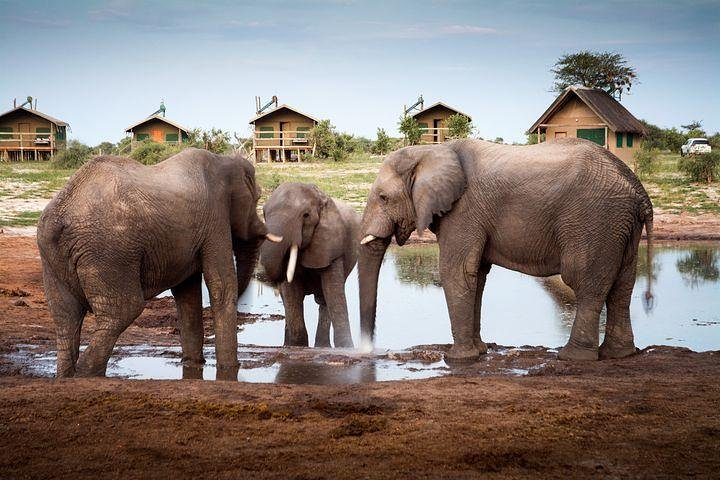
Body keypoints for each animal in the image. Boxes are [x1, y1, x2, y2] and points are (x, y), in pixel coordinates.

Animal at [37, 148, 282, 378]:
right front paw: (230, 370)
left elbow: (187, 295)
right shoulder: (215, 219)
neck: (224, 160)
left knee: (66, 317)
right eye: (258, 197)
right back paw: (87, 375)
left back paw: (68, 375)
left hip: (53, 256)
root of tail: (59, 216)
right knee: (122, 311)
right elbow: (222, 286)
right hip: (106, 252)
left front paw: (193, 364)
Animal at [259, 182, 360, 348]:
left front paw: (346, 348)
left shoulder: (331, 245)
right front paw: (297, 346)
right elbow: (292, 294)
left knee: (324, 299)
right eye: (264, 213)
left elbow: (332, 292)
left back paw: (322, 346)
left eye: (306, 215)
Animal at [358, 138, 654, 362]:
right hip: (619, 226)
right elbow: (477, 274)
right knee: (623, 284)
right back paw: (620, 354)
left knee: (585, 282)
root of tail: (639, 192)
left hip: (594, 221)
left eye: (383, 197)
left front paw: (458, 358)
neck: (431, 151)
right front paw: (479, 352)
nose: (368, 351)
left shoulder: (463, 211)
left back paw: (573, 357)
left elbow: (457, 271)